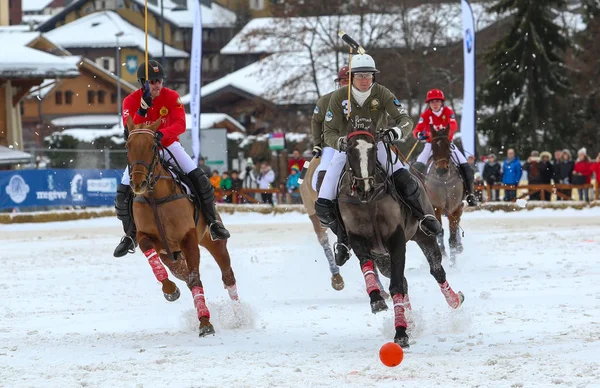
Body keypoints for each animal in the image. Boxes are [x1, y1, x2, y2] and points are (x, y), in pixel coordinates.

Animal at [126, 118, 239, 336]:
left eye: (152, 146)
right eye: (128, 146)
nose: (138, 183)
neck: (156, 197)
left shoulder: (188, 238)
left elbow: (195, 279)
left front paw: (205, 323)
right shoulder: (147, 237)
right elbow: (153, 258)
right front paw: (170, 290)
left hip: (213, 242)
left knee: (227, 275)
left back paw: (241, 316)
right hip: (171, 256)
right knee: (183, 274)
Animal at [424, 125, 466, 264]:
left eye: (448, 145)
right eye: (432, 147)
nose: (442, 170)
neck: (444, 181)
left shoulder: (454, 208)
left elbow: (452, 238)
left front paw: (453, 263)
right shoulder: (436, 207)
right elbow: (439, 232)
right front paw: (443, 253)